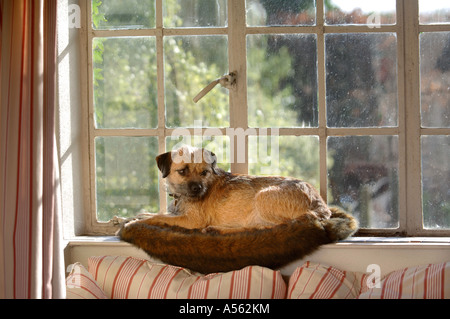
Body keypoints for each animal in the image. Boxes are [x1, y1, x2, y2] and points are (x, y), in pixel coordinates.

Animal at [126, 146, 330, 234]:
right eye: (183, 171)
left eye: (204, 172)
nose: (198, 188)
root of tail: (320, 203)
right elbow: (159, 214)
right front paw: (139, 215)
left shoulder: (192, 220)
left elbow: (160, 218)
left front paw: (136, 222)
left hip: (262, 197)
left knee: (273, 226)